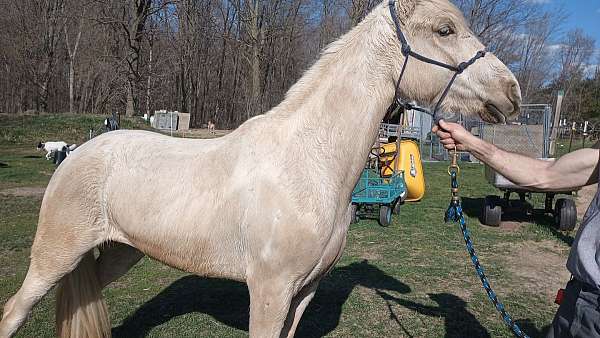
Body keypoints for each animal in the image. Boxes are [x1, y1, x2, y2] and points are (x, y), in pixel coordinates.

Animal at [0, 0, 516, 336]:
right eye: (445, 29)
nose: (510, 92)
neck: (308, 163)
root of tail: (76, 154)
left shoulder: (303, 293)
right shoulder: (269, 291)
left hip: (119, 253)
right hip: (54, 258)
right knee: (13, 312)